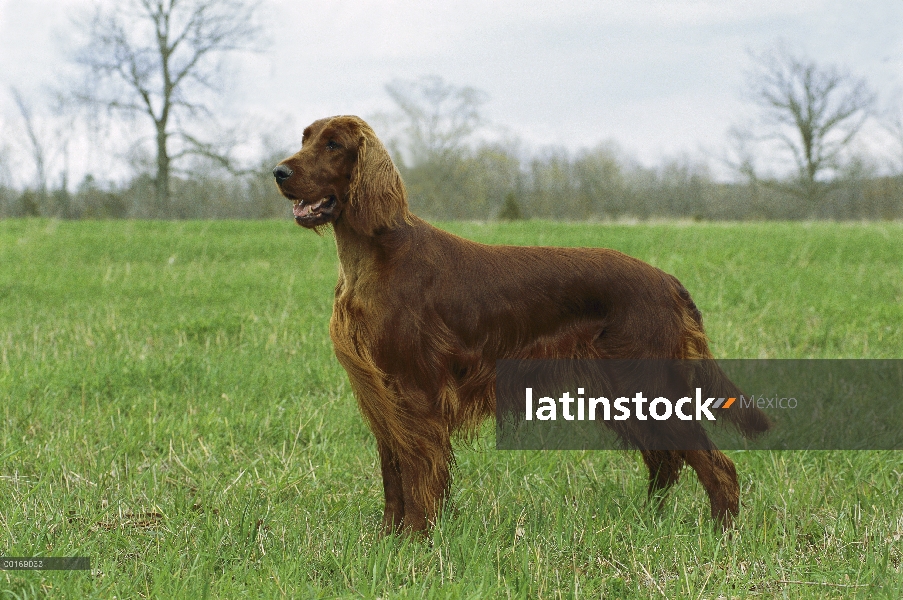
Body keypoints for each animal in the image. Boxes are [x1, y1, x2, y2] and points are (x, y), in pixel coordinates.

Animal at [276, 115, 768, 532]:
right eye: (305, 138)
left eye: (333, 144)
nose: (278, 172)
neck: (374, 256)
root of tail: (668, 281)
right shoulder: (381, 393)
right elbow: (392, 474)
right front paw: (387, 539)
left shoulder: (413, 390)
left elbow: (417, 473)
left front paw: (416, 539)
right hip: (624, 392)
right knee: (665, 461)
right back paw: (650, 522)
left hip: (647, 383)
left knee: (717, 466)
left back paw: (721, 534)